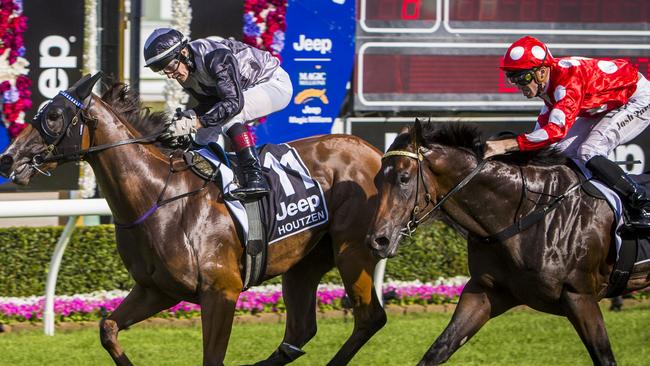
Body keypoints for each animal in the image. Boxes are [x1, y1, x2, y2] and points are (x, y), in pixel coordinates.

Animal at [0, 74, 384, 366]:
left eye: (53, 116)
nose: (8, 159)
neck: (160, 196)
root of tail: (375, 152)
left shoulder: (222, 291)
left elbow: (212, 359)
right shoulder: (157, 289)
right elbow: (107, 328)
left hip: (353, 252)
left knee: (370, 318)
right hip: (304, 263)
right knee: (301, 331)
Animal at [364, 118, 648, 364]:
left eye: (404, 178)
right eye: (377, 179)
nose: (378, 240)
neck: (526, 213)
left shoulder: (581, 297)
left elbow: (604, 357)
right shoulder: (486, 291)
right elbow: (438, 350)